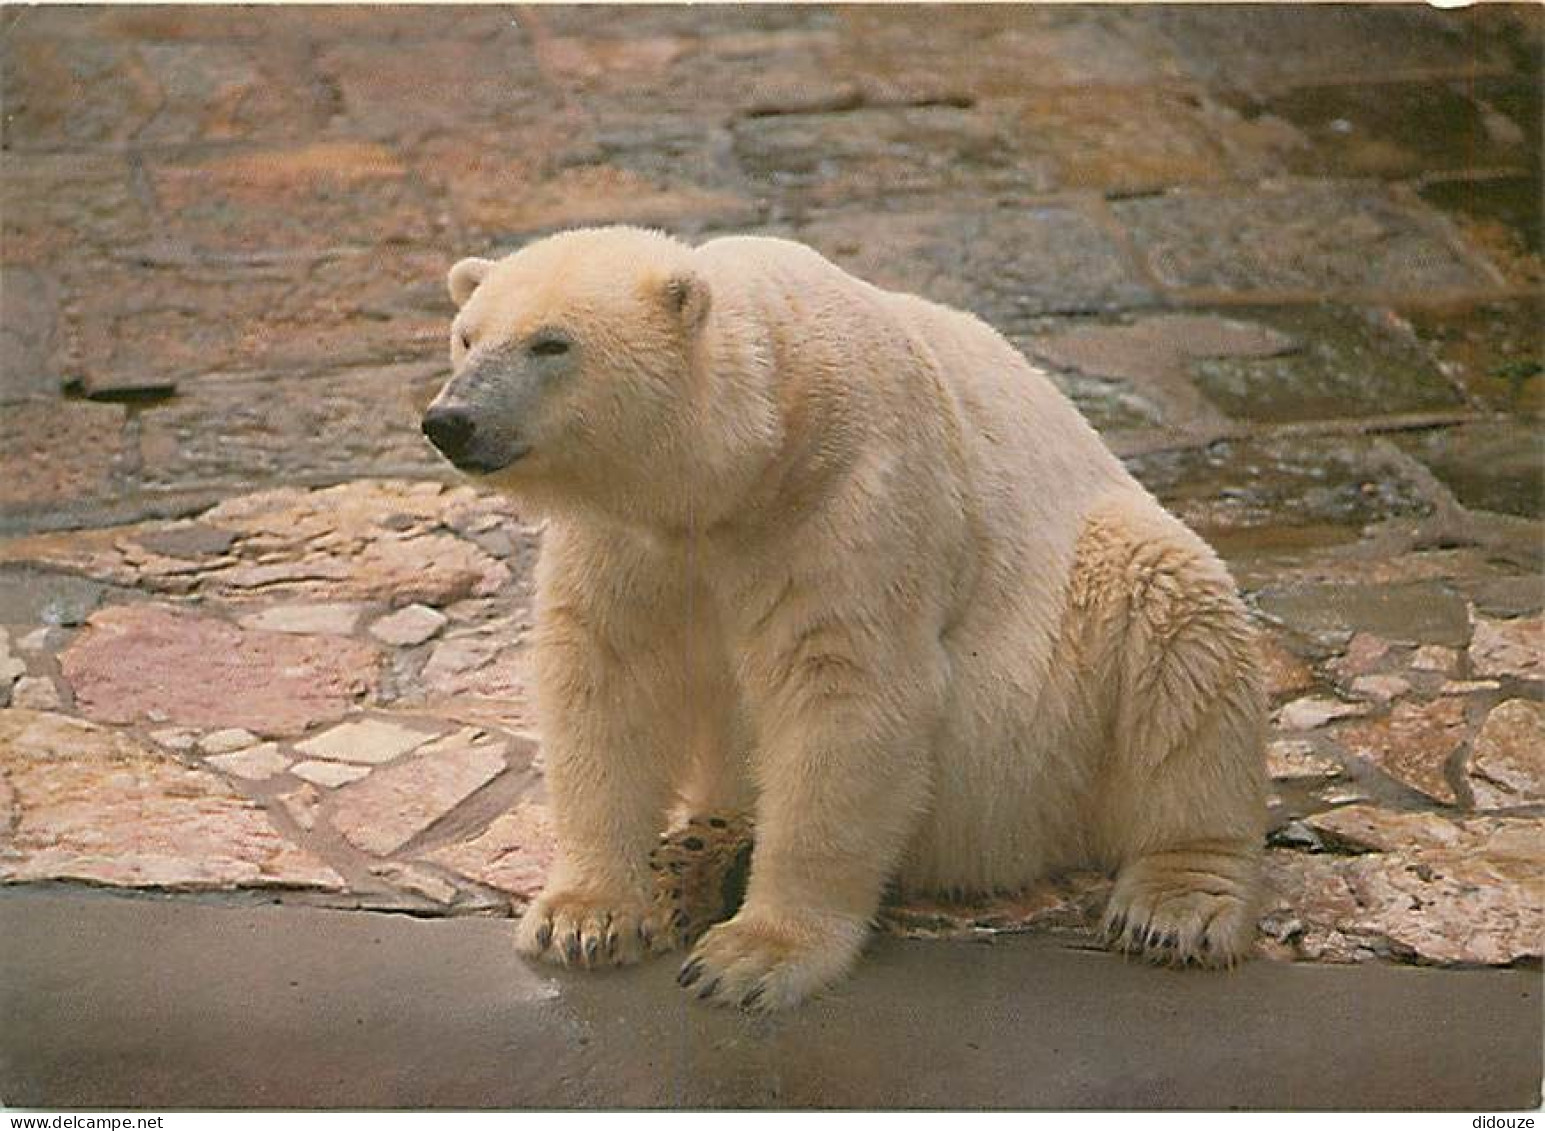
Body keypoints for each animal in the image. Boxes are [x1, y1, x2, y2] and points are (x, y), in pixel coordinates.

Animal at [423, 225, 1266, 1013]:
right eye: (466, 333)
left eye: (551, 342)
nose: (449, 419)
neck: (749, 462)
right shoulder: (628, 540)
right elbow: (605, 677)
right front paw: (585, 917)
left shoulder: (854, 500)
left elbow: (843, 694)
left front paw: (752, 957)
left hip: (1075, 678)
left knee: (1180, 633)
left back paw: (1173, 904)